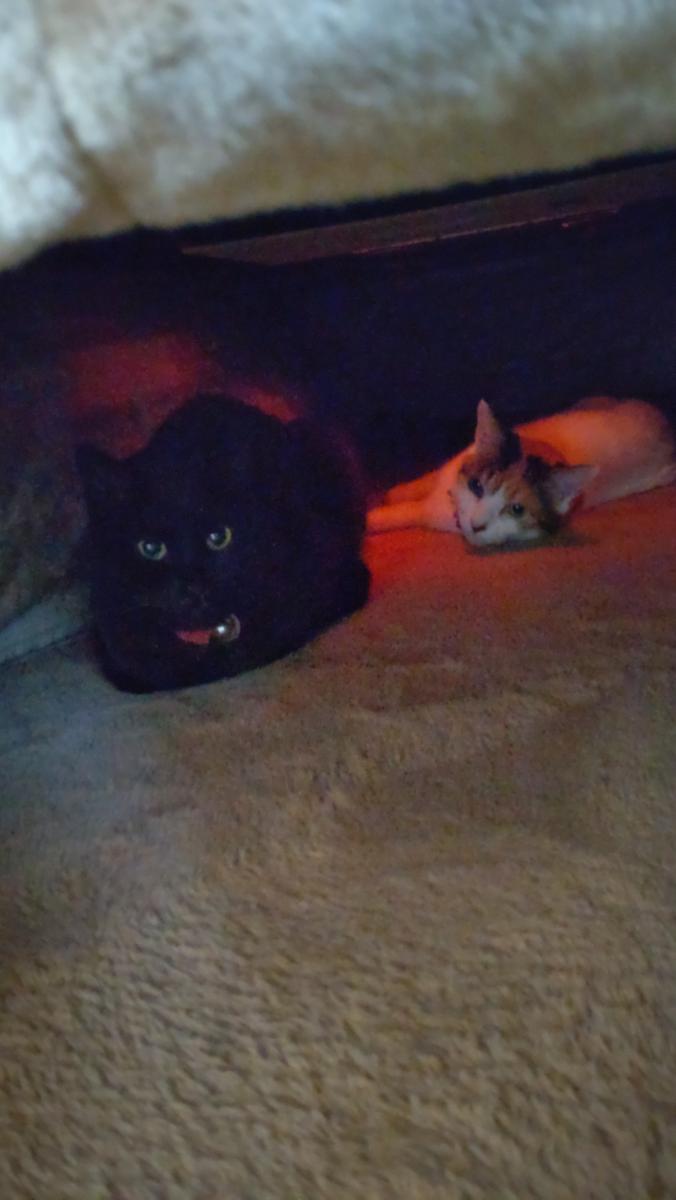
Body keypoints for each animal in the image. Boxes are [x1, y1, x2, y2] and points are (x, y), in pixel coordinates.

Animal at [368, 397, 676, 548]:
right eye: (476, 486)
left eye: (517, 510)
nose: (476, 525)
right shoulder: (451, 466)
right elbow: (426, 479)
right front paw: (395, 492)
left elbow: (410, 511)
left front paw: (373, 517)